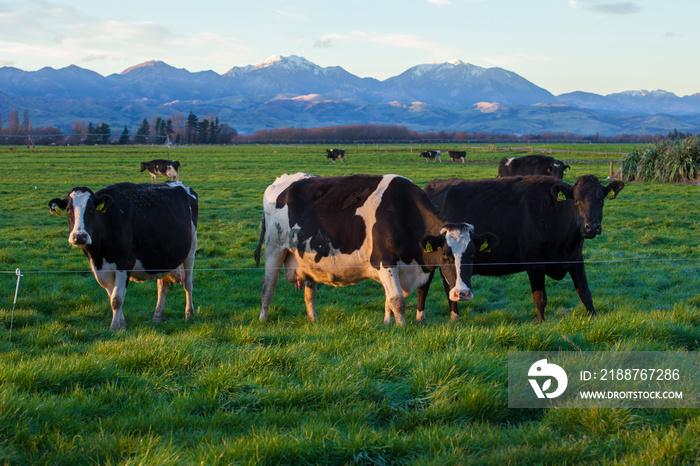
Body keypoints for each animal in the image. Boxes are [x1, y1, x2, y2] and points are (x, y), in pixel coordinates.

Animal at [47, 181, 198, 332]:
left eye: (91, 209)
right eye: (68, 209)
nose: (79, 236)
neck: (99, 255)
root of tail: (175, 183)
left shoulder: (124, 263)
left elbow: (117, 299)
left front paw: (114, 327)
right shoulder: (100, 269)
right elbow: (112, 296)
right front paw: (122, 324)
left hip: (190, 251)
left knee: (188, 283)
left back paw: (189, 314)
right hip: (163, 259)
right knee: (162, 285)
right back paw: (158, 316)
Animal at [253, 174, 498, 324]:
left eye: (473, 254)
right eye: (445, 255)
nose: (462, 293)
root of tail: (283, 180)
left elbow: (389, 299)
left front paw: (387, 323)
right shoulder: (384, 260)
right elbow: (397, 300)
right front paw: (401, 328)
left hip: (308, 259)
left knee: (309, 292)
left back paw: (313, 319)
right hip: (274, 248)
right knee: (267, 287)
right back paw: (263, 319)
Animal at [418, 173, 628, 322]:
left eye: (601, 200)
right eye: (576, 200)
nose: (591, 227)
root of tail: (431, 186)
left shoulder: (576, 258)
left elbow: (585, 293)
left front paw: (594, 318)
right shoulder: (534, 262)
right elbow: (540, 298)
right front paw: (541, 324)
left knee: (449, 284)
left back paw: (455, 317)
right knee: (424, 287)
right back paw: (422, 318)